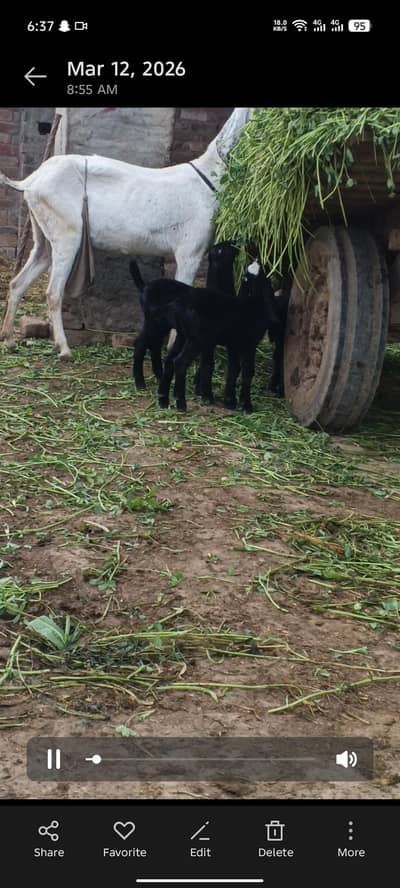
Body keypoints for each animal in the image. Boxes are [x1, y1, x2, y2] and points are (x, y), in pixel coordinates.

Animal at [0, 108, 252, 360]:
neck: (208, 177)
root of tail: (31, 181)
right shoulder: (190, 253)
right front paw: (173, 348)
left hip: (44, 235)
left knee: (18, 282)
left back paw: (9, 339)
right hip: (66, 235)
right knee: (53, 293)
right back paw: (63, 349)